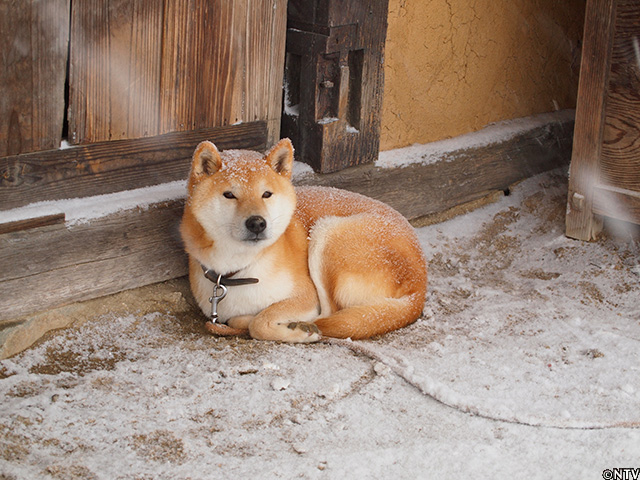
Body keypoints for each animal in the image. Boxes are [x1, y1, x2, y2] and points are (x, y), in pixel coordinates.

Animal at [180, 138, 427, 343]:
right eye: (229, 195)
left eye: (266, 194)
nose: (257, 223)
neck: (242, 269)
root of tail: (418, 287)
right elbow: (244, 319)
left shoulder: (306, 297)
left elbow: (259, 323)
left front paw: (292, 329)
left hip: (327, 234)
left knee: (329, 314)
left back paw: (303, 327)